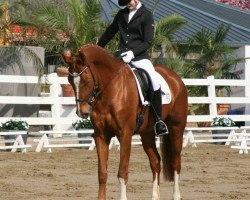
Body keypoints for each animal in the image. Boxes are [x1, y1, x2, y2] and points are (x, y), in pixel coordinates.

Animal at [62, 44, 188, 200]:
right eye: (69, 80)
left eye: (86, 79)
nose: (82, 112)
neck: (111, 90)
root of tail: (176, 78)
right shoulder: (101, 135)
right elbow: (102, 173)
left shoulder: (125, 135)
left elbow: (122, 173)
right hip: (147, 133)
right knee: (156, 161)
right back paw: (155, 196)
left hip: (176, 128)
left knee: (176, 162)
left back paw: (176, 195)